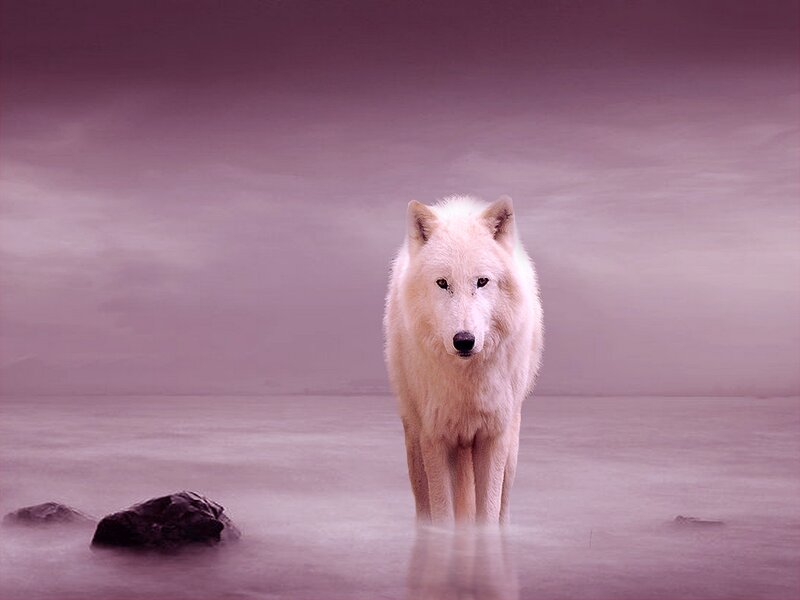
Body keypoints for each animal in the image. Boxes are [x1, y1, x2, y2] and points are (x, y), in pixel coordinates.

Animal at [384, 195, 543, 525]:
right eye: (443, 283)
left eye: (482, 281)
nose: (464, 340)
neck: (466, 383)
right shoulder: (434, 437)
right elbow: (443, 511)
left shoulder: (493, 437)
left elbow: (488, 511)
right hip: (414, 444)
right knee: (424, 501)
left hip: (511, 450)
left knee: (503, 504)